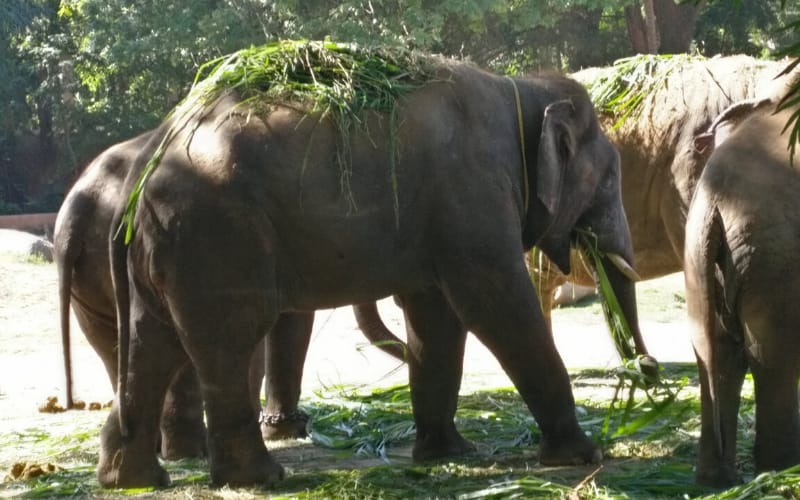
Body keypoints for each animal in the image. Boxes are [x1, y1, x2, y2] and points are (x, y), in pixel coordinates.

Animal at [54, 131, 405, 456]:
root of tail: (77, 212)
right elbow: (291, 320)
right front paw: (285, 431)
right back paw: (188, 451)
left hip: (88, 284)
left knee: (114, 345)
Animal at [101, 57, 642, 488]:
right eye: (608, 177)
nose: (647, 374)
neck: (522, 89)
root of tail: (145, 165)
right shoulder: (472, 195)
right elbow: (495, 305)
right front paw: (583, 455)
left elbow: (436, 319)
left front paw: (446, 455)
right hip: (215, 236)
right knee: (227, 340)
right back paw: (260, 479)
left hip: (170, 249)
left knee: (152, 344)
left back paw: (130, 479)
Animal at [684, 100, 800, 487]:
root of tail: (714, 198)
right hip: (774, 257)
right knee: (771, 355)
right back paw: (782, 470)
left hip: (702, 253)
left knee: (714, 353)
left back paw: (715, 479)